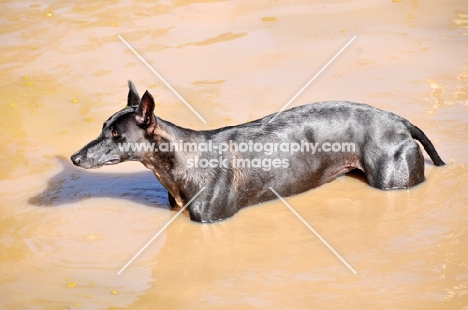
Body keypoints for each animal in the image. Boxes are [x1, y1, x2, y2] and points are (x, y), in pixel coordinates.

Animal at [71, 81, 444, 223]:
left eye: (116, 134)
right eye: (103, 127)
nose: (75, 158)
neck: (180, 160)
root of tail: (400, 122)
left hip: (392, 180)